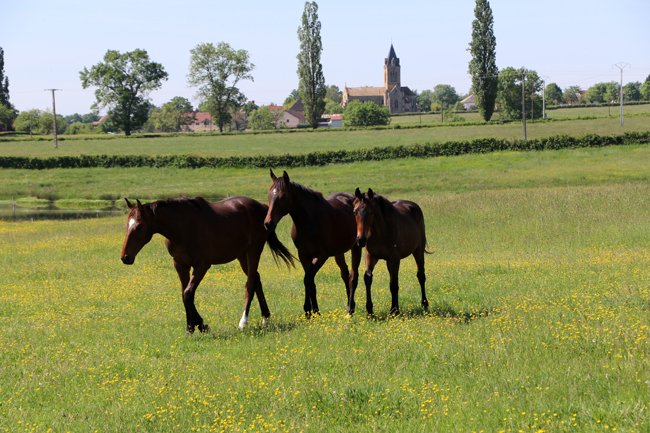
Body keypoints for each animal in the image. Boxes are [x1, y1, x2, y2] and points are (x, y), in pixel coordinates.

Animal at [120, 196, 294, 333]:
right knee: (257, 279)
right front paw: (191, 327)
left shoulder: (202, 266)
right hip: (242, 256)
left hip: (253, 251)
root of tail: (262, 206)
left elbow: (188, 293)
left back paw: (243, 322)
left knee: (250, 284)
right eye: (127, 225)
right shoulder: (180, 265)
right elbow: (184, 294)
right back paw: (265, 318)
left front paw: (200, 325)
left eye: (139, 226)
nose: (125, 257)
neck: (183, 228)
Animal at [263, 170, 361, 316]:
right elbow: (310, 282)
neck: (308, 221)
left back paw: (350, 309)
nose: (268, 223)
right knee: (345, 273)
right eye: (269, 194)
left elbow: (308, 279)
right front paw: (313, 311)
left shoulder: (322, 256)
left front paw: (309, 310)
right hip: (339, 252)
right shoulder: (304, 255)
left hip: (355, 248)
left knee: (353, 276)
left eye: (283, 196)